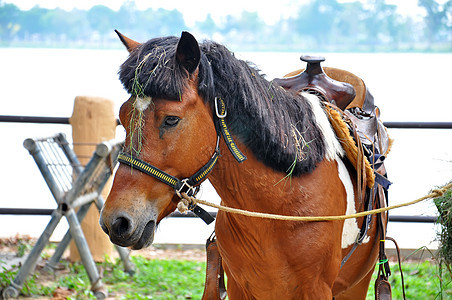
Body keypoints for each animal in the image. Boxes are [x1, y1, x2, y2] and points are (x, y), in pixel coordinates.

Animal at [100, 30, 386, 298]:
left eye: (171, 119)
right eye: (123, 117)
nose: (117, 221)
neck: (280, 206)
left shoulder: (317, 290)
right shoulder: (240, 286)